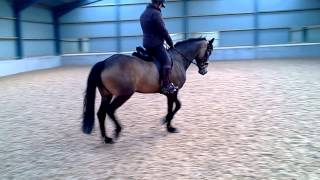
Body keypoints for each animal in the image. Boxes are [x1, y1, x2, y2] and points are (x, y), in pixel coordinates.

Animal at [82, 37, 215, 143]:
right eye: (208, 52)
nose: (204, 71)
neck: (178, 59)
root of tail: (104, 62)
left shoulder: (170, 93)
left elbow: (174, 106)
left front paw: (167, 123)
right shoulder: (174, 91)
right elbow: (176, 106)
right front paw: (168, 125)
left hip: (107, 95)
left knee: (101, 114)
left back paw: (106, 138)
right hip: (124, 94)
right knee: (110, 110)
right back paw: (117, 131)